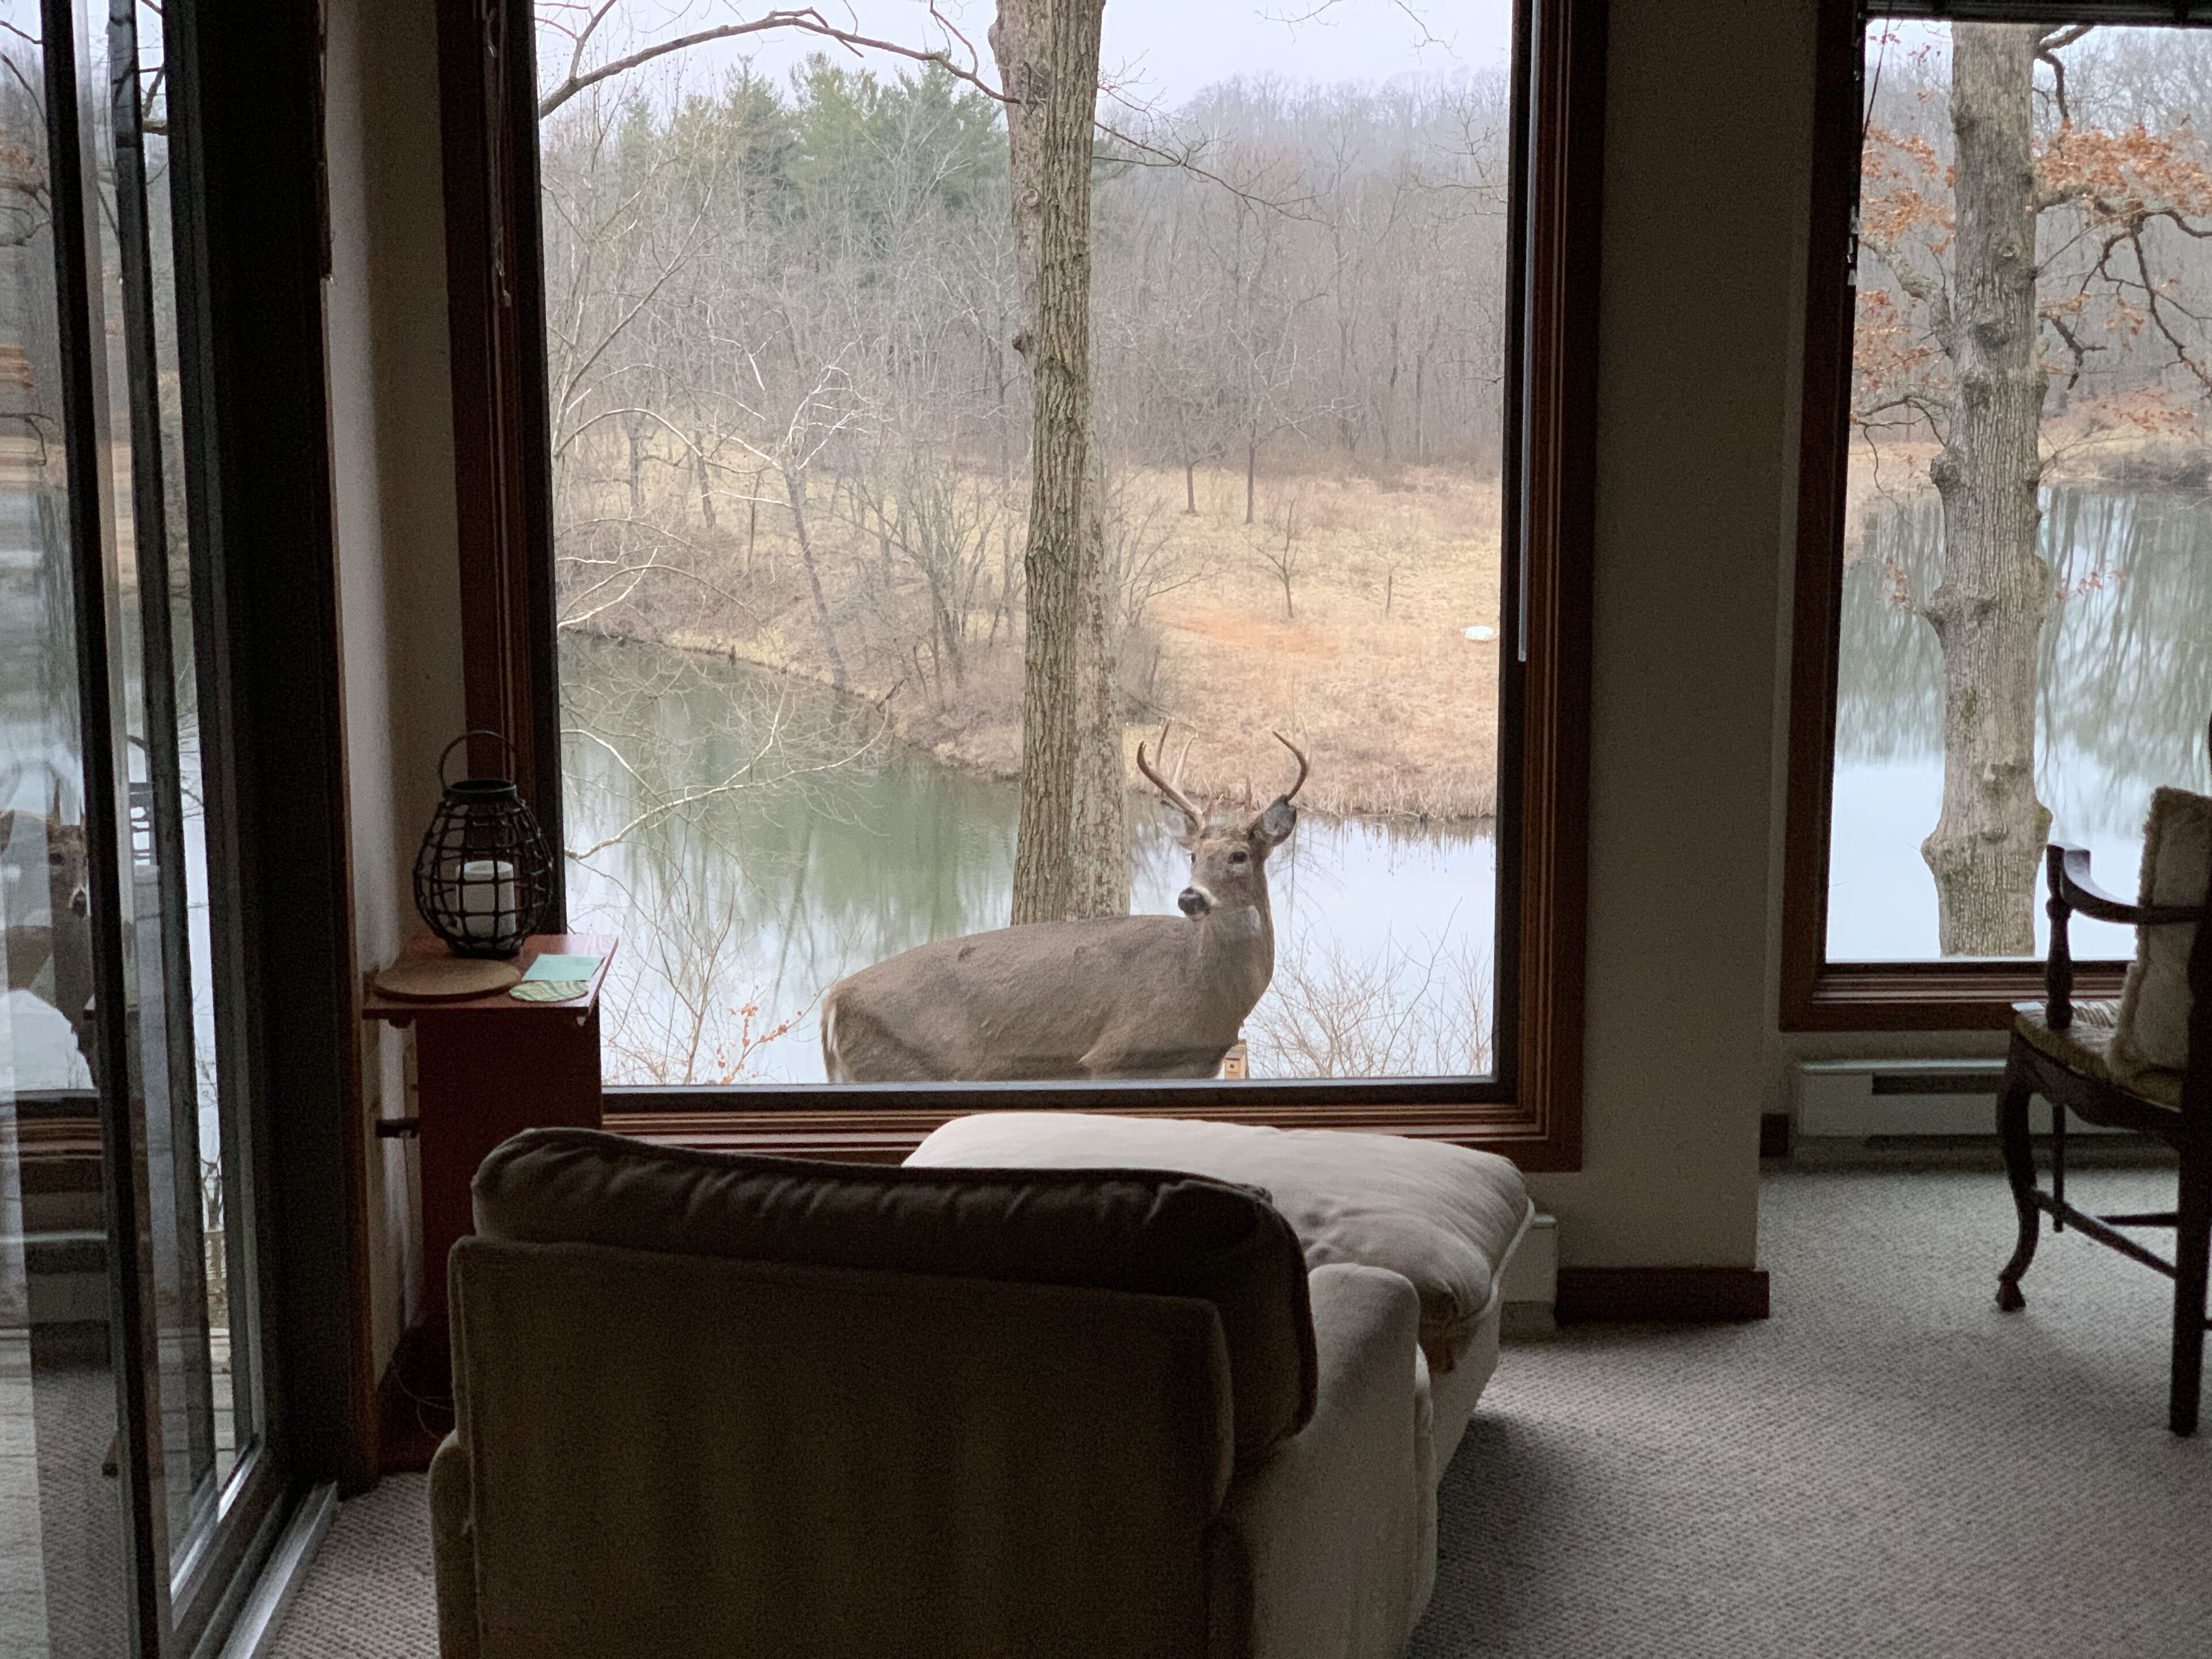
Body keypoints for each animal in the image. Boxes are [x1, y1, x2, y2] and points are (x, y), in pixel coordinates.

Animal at [821, 730, 1308, 1082]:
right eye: (1194, 856)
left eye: (1239, 856)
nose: (1191, 896)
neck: (1211, 991)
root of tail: (833, 1002)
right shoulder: (1114, 1057)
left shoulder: (1200, 1064)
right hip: (901, 1067)